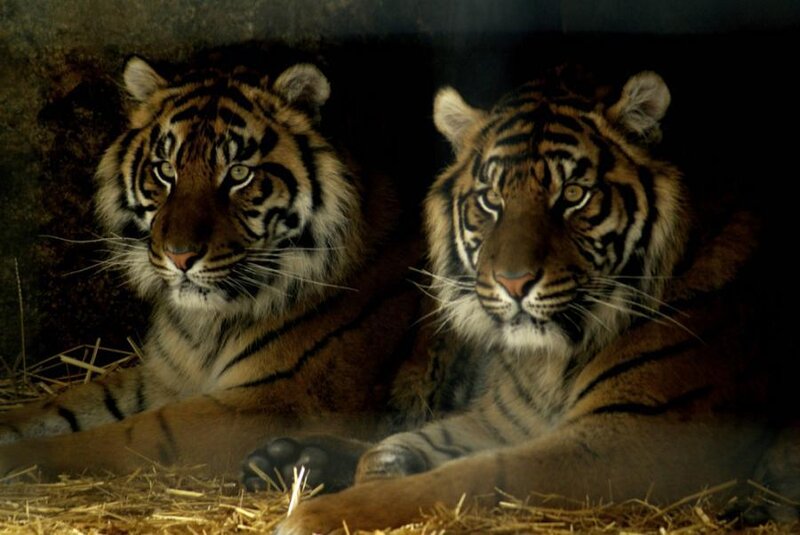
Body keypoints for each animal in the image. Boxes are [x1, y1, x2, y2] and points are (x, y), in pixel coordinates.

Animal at [0, 56, 428, 478]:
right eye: (165, 170)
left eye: (239, 173)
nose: (180, 256)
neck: (204, 326)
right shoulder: (162, 377)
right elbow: (62, 406)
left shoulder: (280, 401)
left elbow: (129, 435)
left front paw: (21, 461)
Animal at [262, 70, 800, 534]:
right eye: (490, 201)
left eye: (575, 195)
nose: (514, 282)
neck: (551, 361)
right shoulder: (501, 420)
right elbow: (388, 448)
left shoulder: (638, 436)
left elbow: (475, 476)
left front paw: (312, 517)